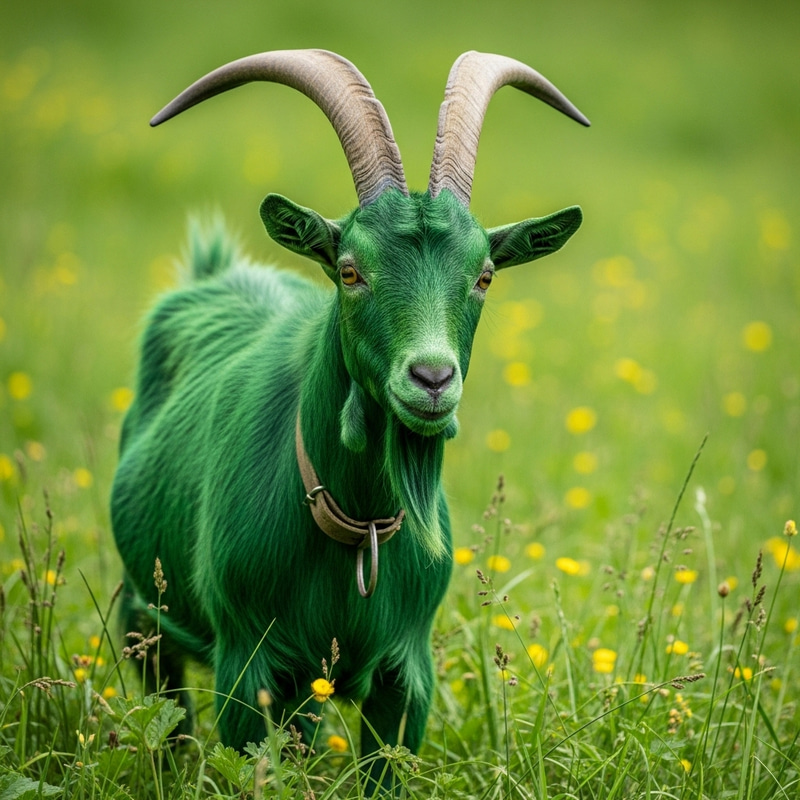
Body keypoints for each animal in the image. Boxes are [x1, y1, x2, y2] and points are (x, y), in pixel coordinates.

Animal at [111, 49, 588, 786]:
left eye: (484, 275)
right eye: (348, 269)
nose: (432, 379)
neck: (357, 525)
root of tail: (212, 272)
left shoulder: (405, 677)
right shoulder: (250, 667)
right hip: (146, 614)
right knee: (170, 714)